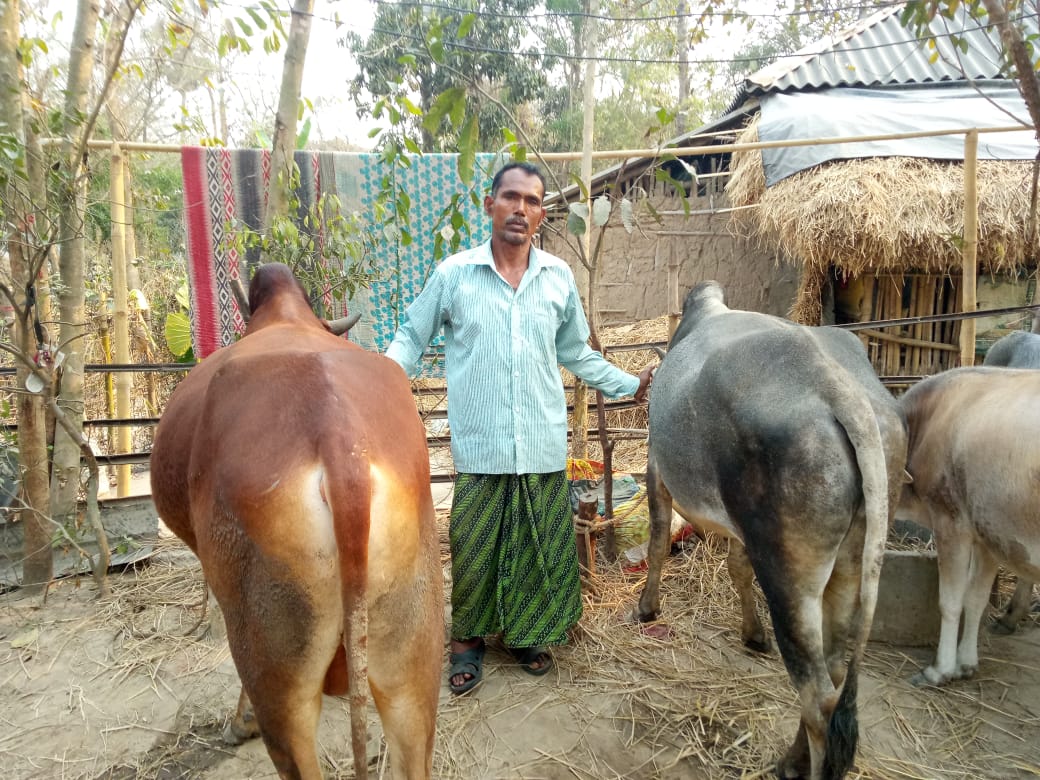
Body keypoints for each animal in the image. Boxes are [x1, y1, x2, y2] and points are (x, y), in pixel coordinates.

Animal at [632, 281, 908, 780]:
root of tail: (836, 387)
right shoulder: (743, 532)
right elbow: (736, 567)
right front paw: (751, 632)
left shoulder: (655, 470)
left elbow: (659, 542)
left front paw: (647, 608)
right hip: (850, 565)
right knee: (834, 673)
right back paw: (791, 760)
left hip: (788, 575)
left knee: (818, 696)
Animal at [899, 367, 1040, 687]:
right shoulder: (989, 534)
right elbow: (975, 599)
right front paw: (966, 663)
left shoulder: (950, 522)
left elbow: (951, 601)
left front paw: (940, 669)